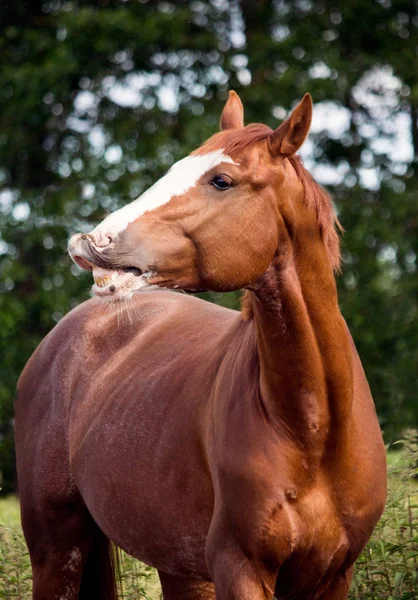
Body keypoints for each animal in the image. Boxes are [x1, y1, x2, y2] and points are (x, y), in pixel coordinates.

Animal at [14, 90, 386, 600]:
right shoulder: (240, 568)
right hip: (57, 553)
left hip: (178, 568)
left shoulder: (334, 576)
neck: (314, 429)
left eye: (222, 180)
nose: (91, 241)